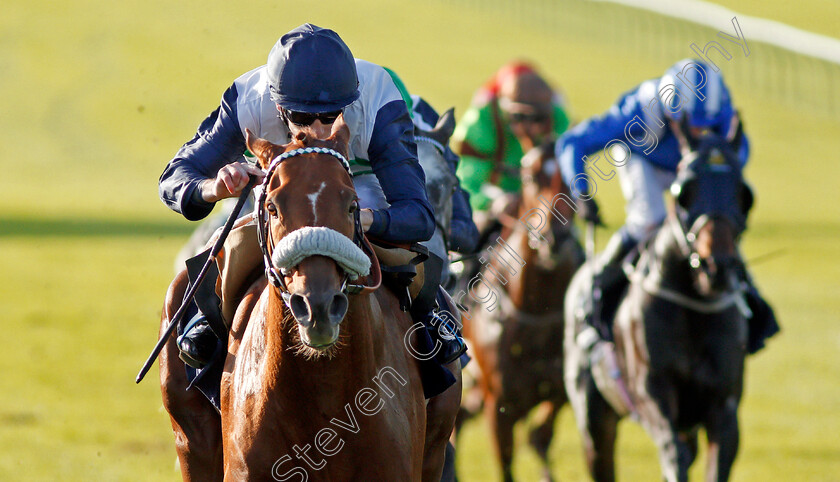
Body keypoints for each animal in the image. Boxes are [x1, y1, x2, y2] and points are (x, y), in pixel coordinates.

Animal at [158, 118, 460, 480]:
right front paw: (230, 176)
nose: (318, 308)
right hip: (190, 440)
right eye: (272, 207)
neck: (322, 388)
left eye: (352, 204)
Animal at [460, 145, 584, 480]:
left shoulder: (558, 390)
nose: (554, 238)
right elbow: (505, 459)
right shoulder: (498, 404)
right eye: (530, 176)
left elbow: (540, 435)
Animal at [564, 137, 756, 482]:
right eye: (685, 191)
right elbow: (672, 454)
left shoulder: (724, 406)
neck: (695, 308)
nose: (718, 267)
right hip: (594, 419)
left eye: (744, 193)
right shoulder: (650, 393)